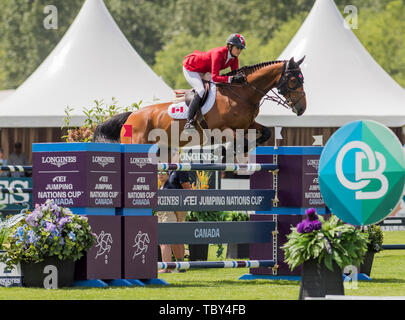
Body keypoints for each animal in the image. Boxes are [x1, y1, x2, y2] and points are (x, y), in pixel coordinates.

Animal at [92, 57, 306, 158]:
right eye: (294, 80)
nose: (302, 108)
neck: (243, 94)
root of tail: (131, 116)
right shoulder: (223, 130)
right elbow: (242, 143)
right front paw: (228, 152)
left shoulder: (248, 125)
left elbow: (266, 133)